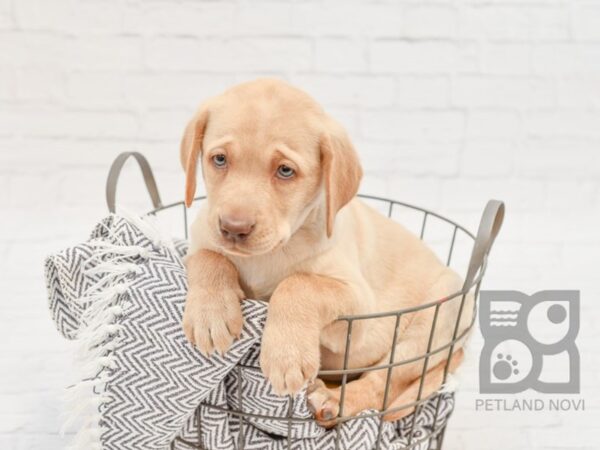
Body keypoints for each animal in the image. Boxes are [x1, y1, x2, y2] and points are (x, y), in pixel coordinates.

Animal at [180, 79, 472, 428]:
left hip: (437, 314)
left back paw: (332, 401)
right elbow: (208, 257)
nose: (233, 228)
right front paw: (210, 315)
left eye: (285, 171)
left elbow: (300, 283)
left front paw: (286, 353)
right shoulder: (199, 237)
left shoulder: (358, 309)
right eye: (220, 160)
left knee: (381, 384)